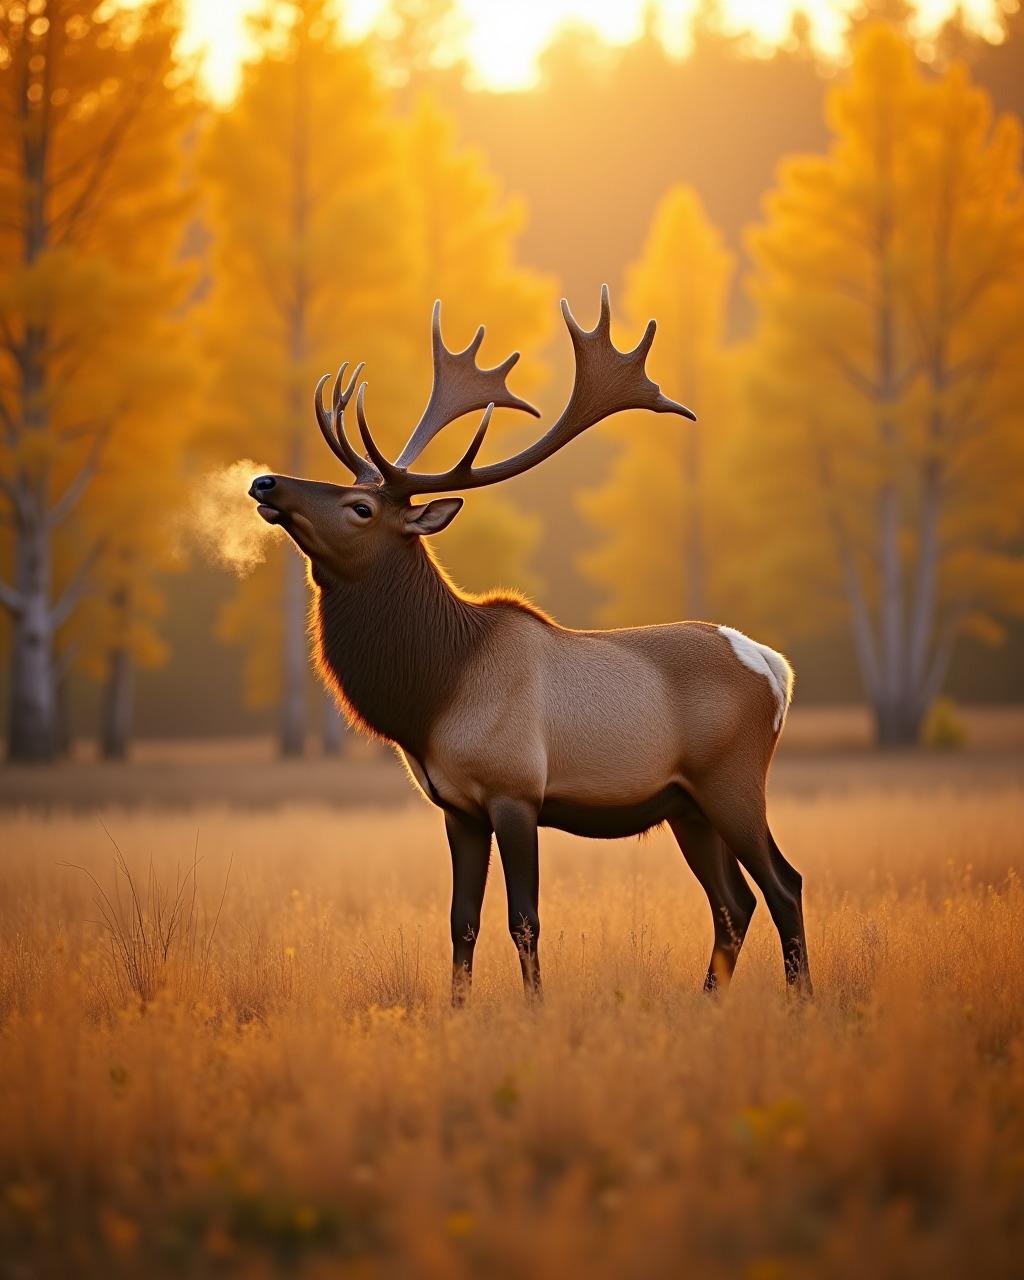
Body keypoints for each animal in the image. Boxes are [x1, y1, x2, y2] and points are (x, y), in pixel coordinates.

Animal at [248, 286, 810, 1003]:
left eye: (361, 508)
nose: (266, 483)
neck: (433, 694)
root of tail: (774, 668)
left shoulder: (515, 790)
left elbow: (523, 919)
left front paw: (535, 1010)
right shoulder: (456, 807)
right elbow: (461, 920)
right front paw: (457, 1011)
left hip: (732, 779)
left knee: (783, 884)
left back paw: (801, 1002)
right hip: (688, 804)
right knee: (733, 903)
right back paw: (707, 1002)